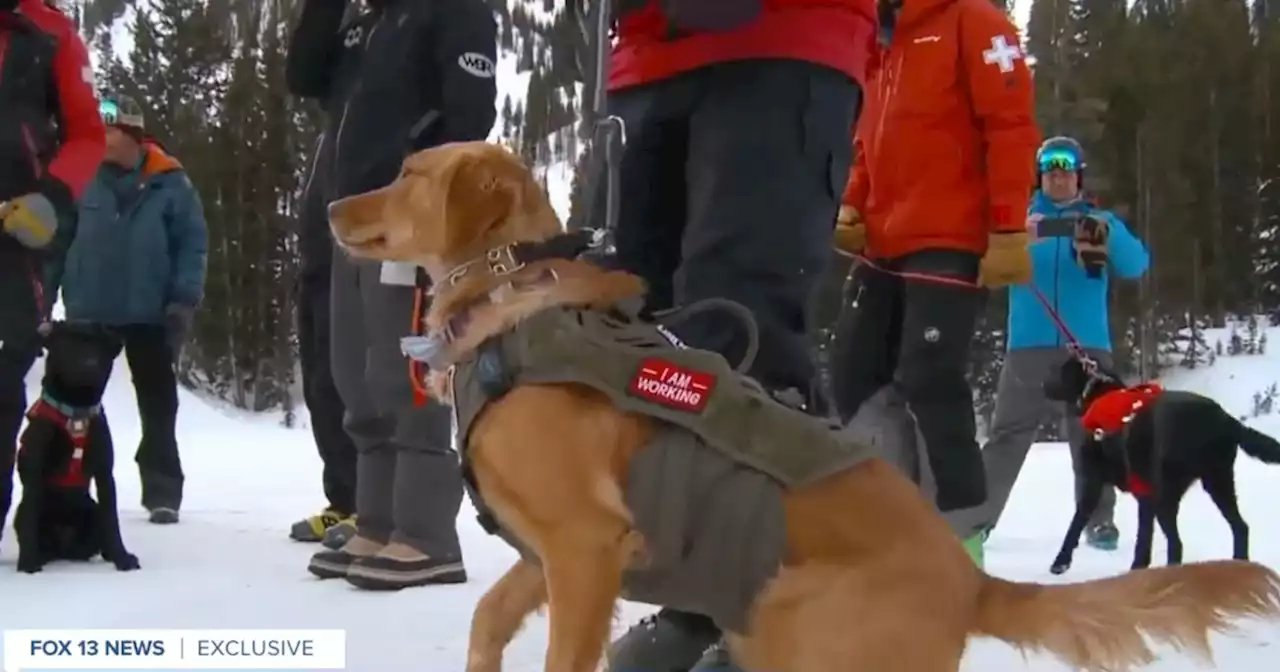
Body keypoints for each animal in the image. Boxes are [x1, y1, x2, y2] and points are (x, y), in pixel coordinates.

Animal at [13, 320, 138, 570]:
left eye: (98, 346)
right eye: (68, 343)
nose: (89, 363)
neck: (76, 409)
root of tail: (64, 546)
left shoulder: (104, 472)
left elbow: (112, 520)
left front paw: (122, 558)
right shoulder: (34, 471)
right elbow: (31, 516)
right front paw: (28, 562)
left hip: (92, 511)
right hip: (20, 514)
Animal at [327, 140, 1280, 670]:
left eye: (407, 172)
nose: (330, 200)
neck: (513, 301)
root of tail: (967, 578)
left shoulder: (587, 545)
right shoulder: (555, 553)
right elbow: (489, 619)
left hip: (790, 619)